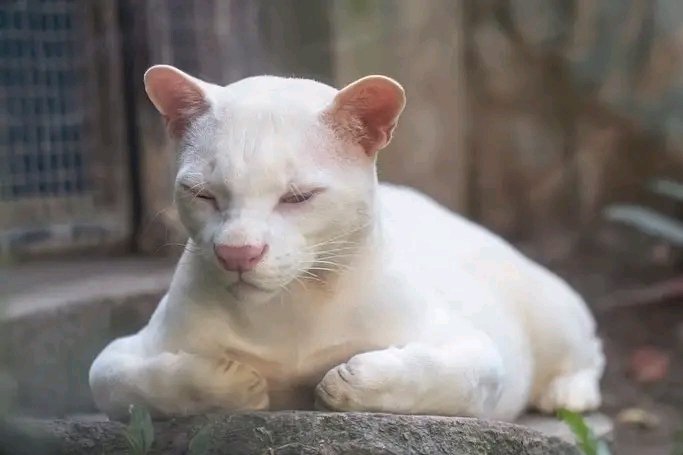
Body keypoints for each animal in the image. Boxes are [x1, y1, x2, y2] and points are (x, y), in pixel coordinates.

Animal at [87, 66, 604, 422]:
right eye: (204, 195)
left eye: (297, 197)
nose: (237, 253)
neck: (292, 305)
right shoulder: (127, 351)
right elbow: (129, 383)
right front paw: (230, 386)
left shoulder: (470, 347)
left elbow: (435, 374)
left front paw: (348, 382)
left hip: (551, 310)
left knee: (588, 351)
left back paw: (567, 393)